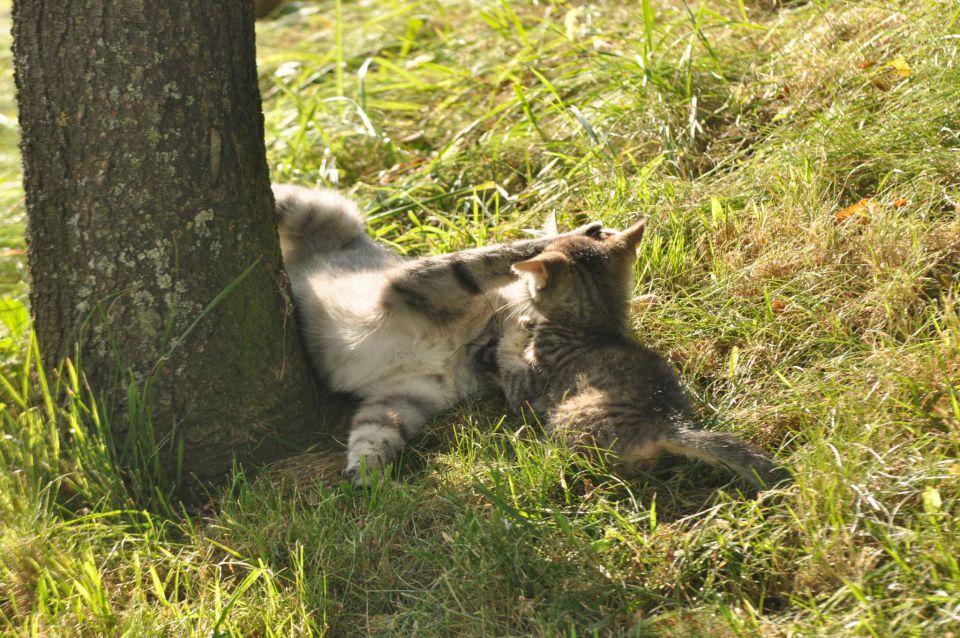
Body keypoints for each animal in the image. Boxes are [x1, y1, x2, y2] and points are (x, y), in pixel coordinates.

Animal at [272, 185, 600, 484]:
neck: (466, 346)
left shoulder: (405, 394)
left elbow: (376, 432)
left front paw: (366, 473)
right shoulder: (423, 280)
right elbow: (492, 257)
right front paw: (584, 233)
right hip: (317, 209)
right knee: (288, 195)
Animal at [496, 220, 788, 490]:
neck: (597, 323)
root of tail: (664, 423)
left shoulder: (528, 385)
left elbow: (506, 358)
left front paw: (516, 323)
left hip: (566, 417)